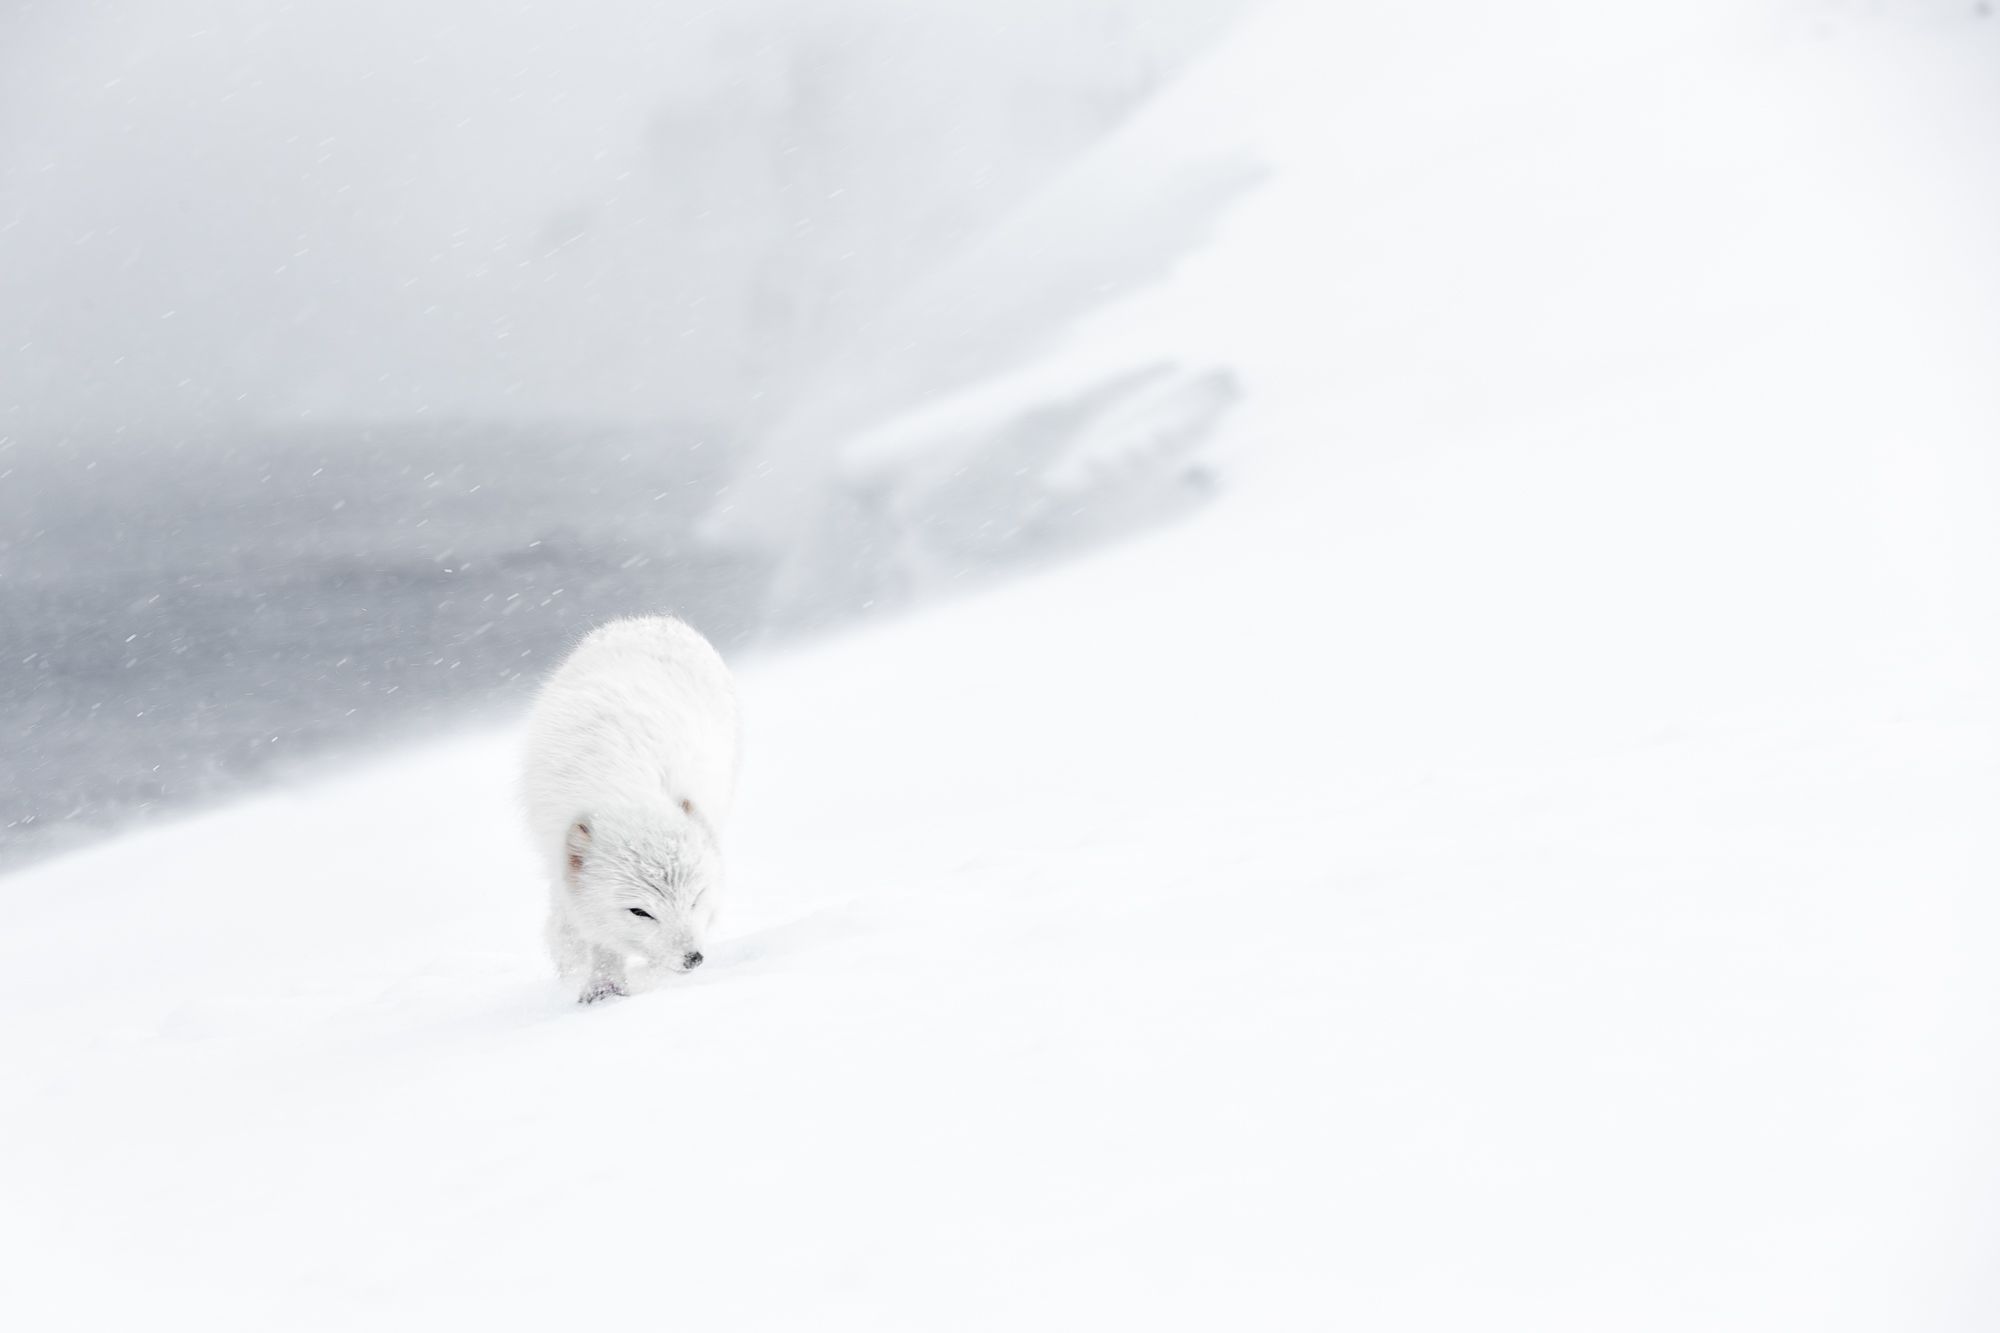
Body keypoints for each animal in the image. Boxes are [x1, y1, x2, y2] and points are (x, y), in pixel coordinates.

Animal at [521, 615, 740, 1003]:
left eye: (695, 898)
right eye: (639, 911)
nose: (693, 958)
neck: (627, 793)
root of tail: (652, 620)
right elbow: (592, 934)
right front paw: (601, 987)